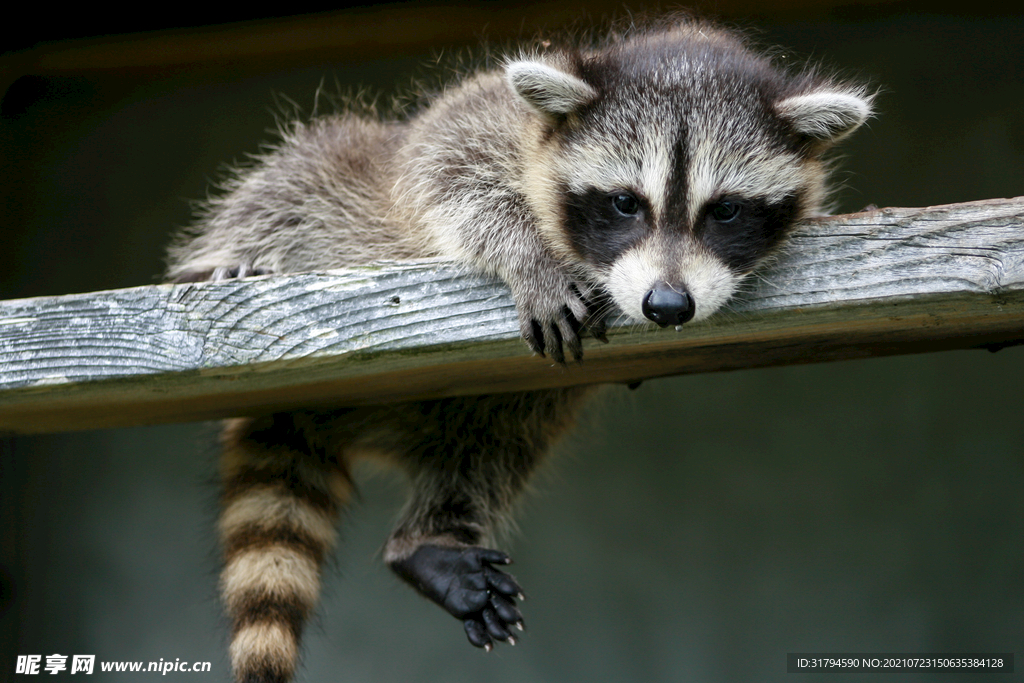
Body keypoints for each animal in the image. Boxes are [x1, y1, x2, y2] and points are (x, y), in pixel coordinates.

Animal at [165, 17, 872, 683]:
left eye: (724, 211)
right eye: (625, 204)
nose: (668, 305)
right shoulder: (479, 117)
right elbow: (444, 171)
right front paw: (525, 251)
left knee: (498, 438)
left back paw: (430, 539)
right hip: (333, 186)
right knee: (298, 174)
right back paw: (229, 257)